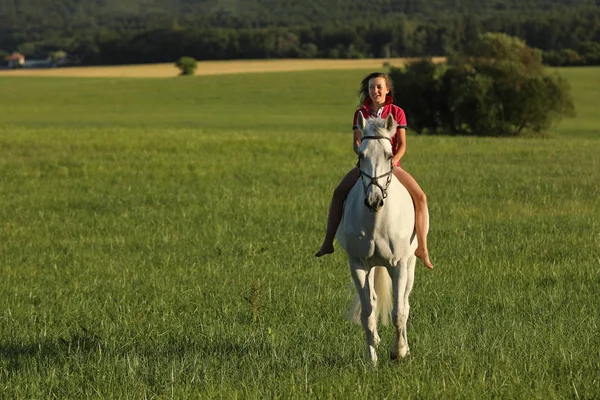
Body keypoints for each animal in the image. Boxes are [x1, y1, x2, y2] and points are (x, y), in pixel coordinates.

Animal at [338, 111, 422, 366]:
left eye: (389, 155)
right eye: (361, 154)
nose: (374, 200)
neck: (377, 221)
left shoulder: (399, 265)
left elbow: (398, 312)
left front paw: (399, 352)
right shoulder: (358, 264)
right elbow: (368, 312)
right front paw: (372, 358)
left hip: (411, 264)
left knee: (405, 302)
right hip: (374, 267)